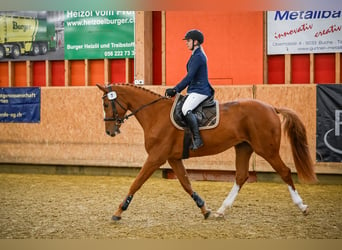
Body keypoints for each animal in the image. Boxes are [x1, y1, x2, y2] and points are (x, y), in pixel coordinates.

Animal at [95, 82, 316, 221]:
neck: (155, 114)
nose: (110, 131)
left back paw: (303, 207)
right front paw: (204, 209)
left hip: (266, 149)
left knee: (284, 172)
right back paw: (221, 211)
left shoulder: (156, 157)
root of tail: (271, 107)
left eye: (106, 104)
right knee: (241, 176)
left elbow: (136, 183)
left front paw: (118, 211)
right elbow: (186, 184)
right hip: (244, 147)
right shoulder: (173, 158)